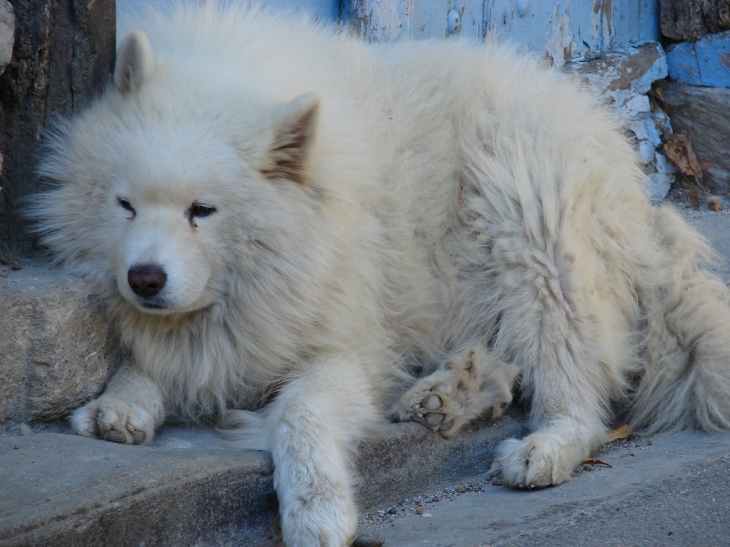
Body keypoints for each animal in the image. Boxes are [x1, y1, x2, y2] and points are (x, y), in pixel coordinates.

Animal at [31, 2, 728, 544]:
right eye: (125, 205)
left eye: (202, 211)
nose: (144, 279)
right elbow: (150, 363)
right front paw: (120, 404)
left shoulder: (347, 347)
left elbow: (300, 412)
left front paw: (318, 511)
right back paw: (447, 393)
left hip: (527, 216)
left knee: (576, 378)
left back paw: (542, 445)